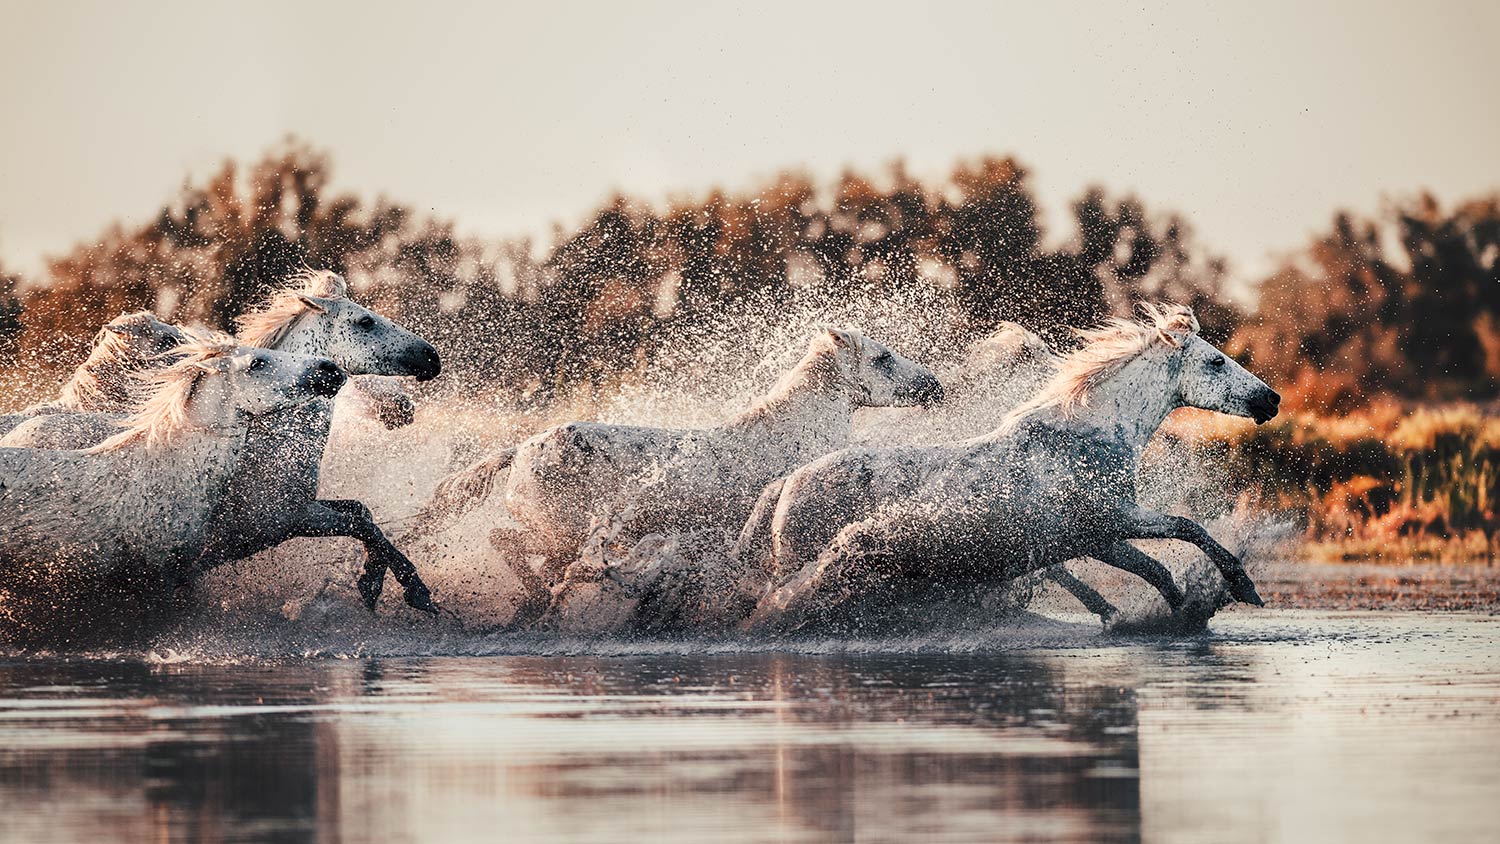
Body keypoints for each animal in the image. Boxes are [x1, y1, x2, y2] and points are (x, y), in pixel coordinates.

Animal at [736, 304, 1280, 634]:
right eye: (1214, 362)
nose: (1271, 399)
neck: (1086, 434)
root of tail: (784, 484)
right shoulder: (1116, 517)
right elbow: (1190, 528)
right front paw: (1242, 588)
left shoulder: (1094, 536)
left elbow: (1155, 568)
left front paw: (1176, 614)